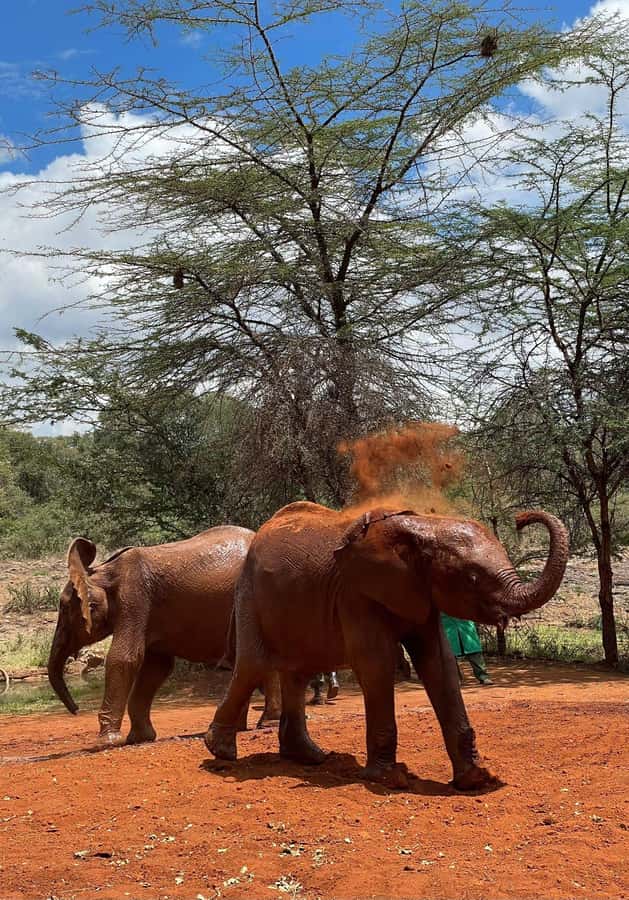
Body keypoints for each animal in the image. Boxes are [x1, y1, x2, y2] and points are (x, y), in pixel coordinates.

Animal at [48, 526, 282, 746]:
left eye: (64, 608)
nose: (76, 710)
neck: (101, 571)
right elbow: (156, 667)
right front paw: (139, 738)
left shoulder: (134, 598)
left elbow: (124, 658)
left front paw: (108, 742)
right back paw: (245, 727)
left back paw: (266, 724)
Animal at [205, 501, 569, 790]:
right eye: (473, 578)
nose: (521, 518)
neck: (426, 526)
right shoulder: (355, 592)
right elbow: (376, 663)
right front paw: (388, 779)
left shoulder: (419, 593)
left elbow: (438, 662)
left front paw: (476, 779)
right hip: (250, 594)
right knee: (254, 665)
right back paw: (220, 751)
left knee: (298, 672)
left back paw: (311, 758)